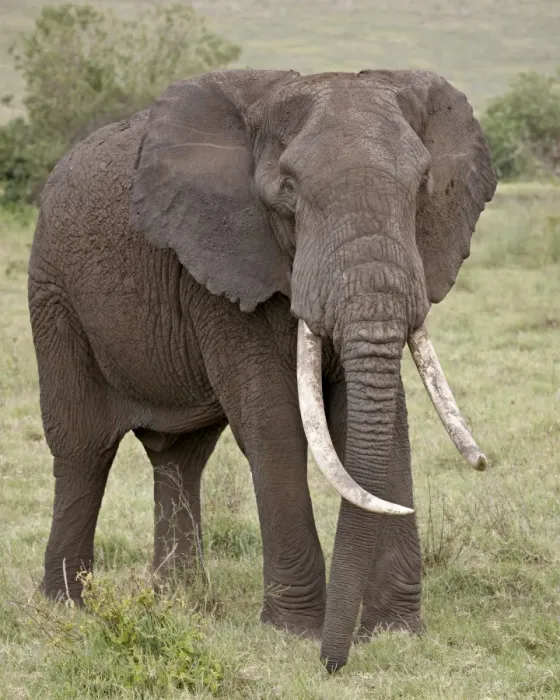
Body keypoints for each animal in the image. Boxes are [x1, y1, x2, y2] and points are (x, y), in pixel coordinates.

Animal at [28, 68, 496, 671]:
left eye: (421, 186)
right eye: (289, 190)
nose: (333, 664)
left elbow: (381, 426)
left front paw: (395, 633)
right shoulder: (221, 265)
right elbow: (275, 427)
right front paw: (295, 632)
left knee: (180, 454)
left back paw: (179, 600)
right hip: (53, 294)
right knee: (83, 448)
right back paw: (68, 606)